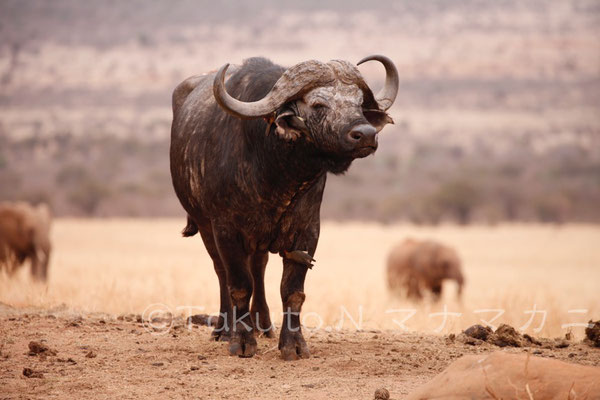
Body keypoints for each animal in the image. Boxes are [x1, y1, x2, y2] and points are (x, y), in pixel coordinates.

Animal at [169, 55, 398, 360]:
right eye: (318, 104)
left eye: (359, 103)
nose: (366, 134)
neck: (272, 170)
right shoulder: (226, 230)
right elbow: (239, 285)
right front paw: (242, 341)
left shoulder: (308, 231)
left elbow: (292, 291)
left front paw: (293, 344)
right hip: (205, 227)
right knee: (222, 272)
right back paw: (224, 329)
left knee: (259, 268)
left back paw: (263, 325)